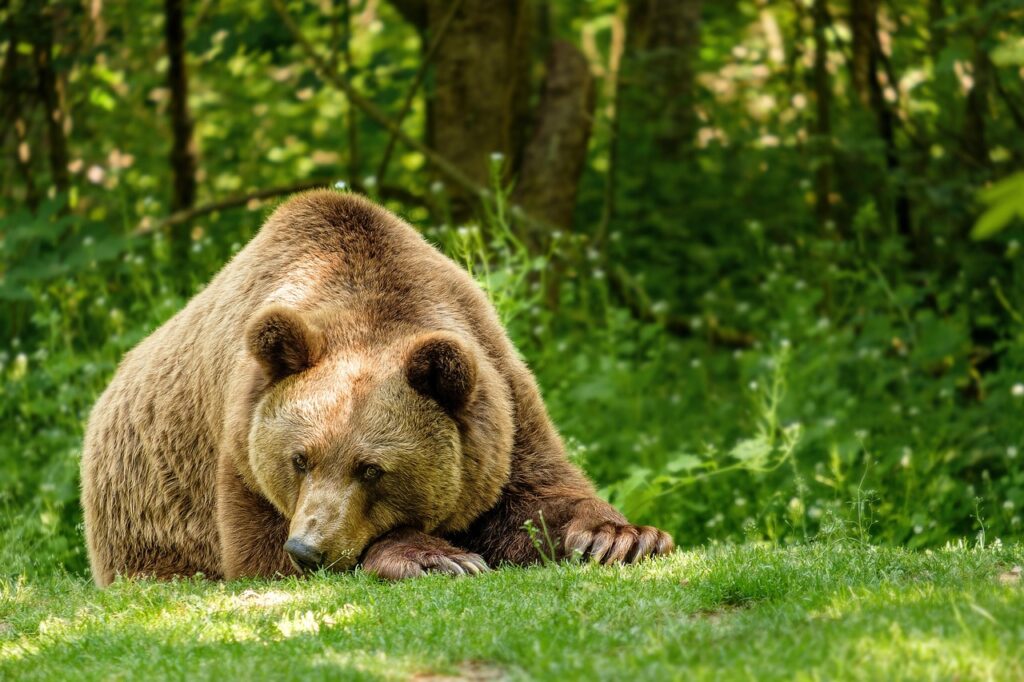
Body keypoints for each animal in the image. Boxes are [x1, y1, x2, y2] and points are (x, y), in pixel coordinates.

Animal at [80, 190, 673, 586]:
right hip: (146, 515)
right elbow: (258, 553)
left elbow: (539, 495)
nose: (308, 548)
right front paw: (437, 556)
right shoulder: (241, 450)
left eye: (372, 469)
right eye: (299, 458)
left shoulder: (500, 400)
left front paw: (622, 537)